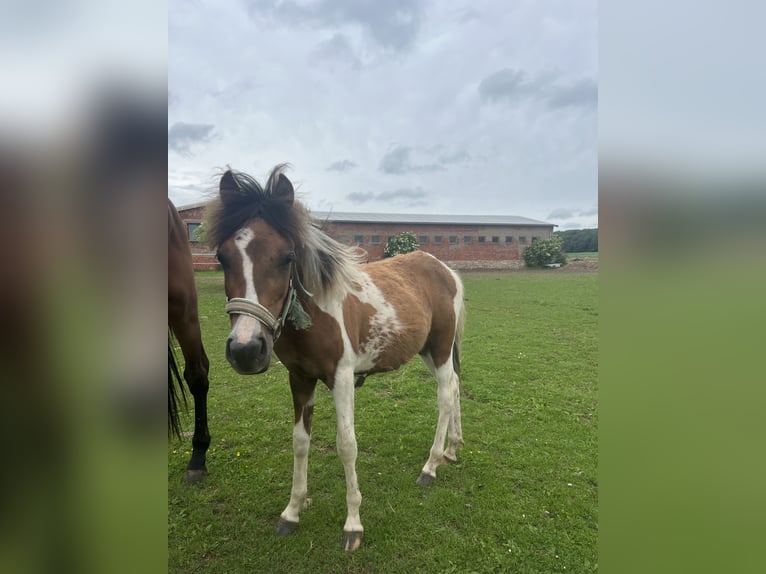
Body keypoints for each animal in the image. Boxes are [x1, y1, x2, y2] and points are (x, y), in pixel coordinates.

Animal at [205, 165, 466, 551]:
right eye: (222, 257)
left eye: (287, 257)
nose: (246, 349)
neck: (317, 313)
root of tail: (444, 269)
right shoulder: (299, 378)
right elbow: (300, 442)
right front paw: (292, 512)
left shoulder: (341, 378)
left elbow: (346, 445)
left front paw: (353, 524)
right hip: (428, 352)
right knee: (457, 387)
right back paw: (452, 449)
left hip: (441, 347)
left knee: (446, 395)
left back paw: (430, 466)